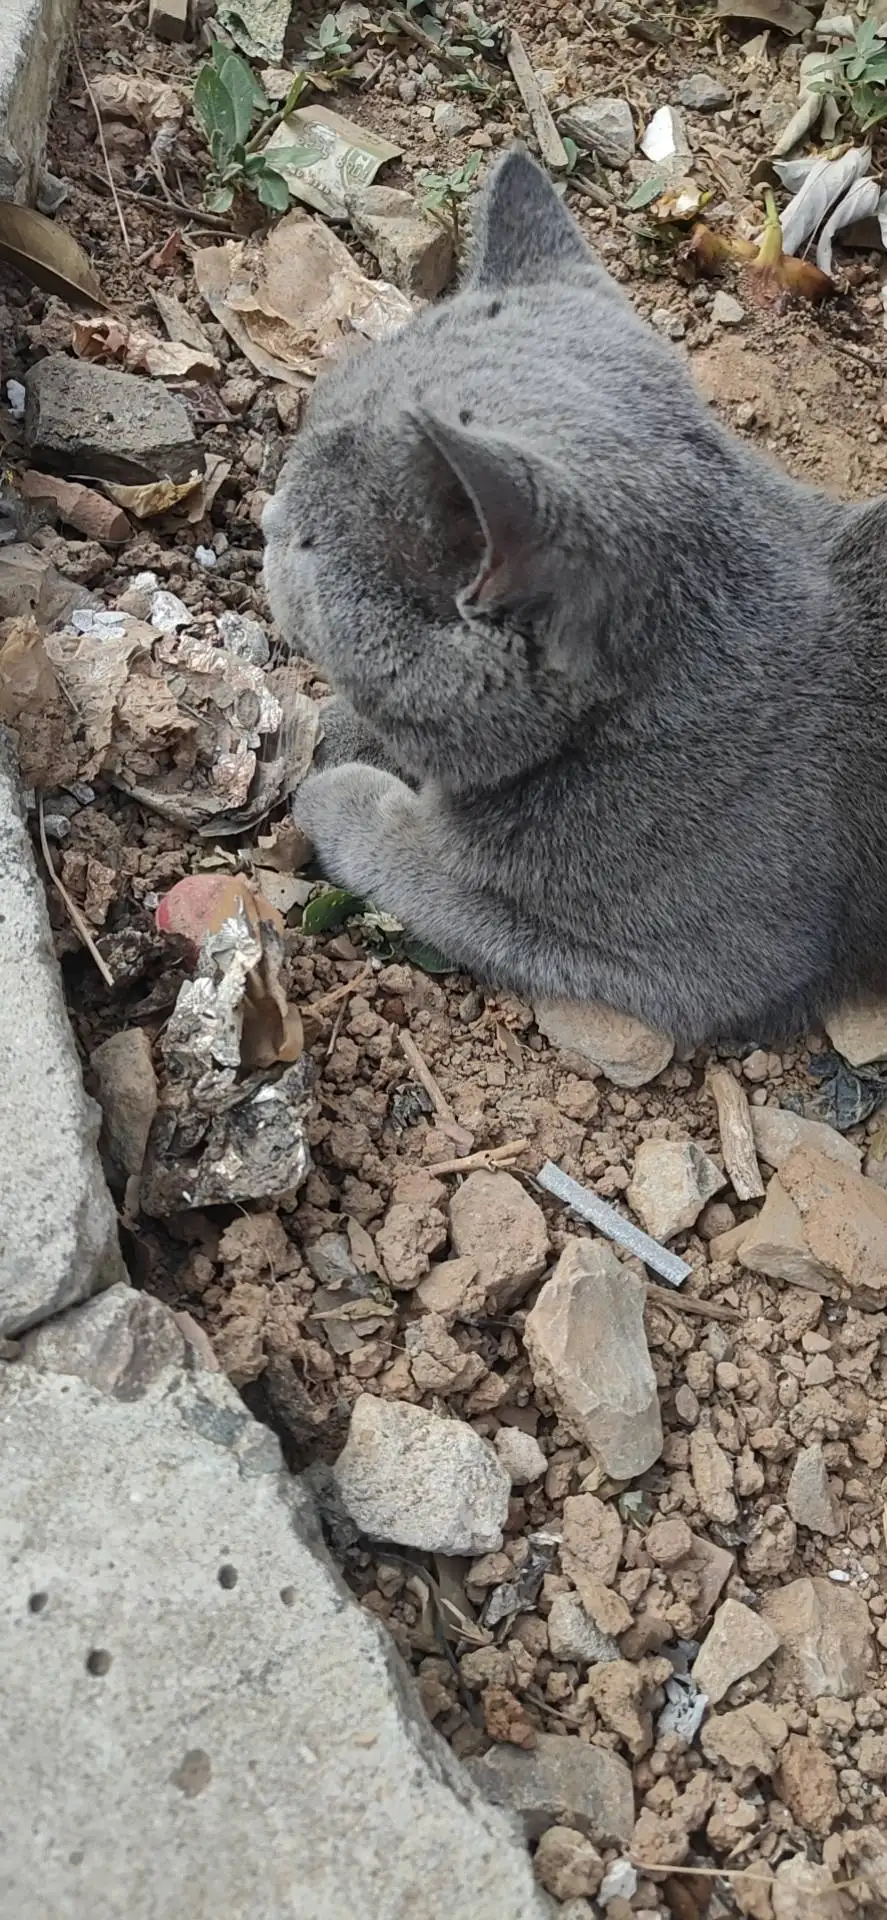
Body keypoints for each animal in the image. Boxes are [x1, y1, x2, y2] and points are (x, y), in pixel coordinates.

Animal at [259, 149, 887, 1052]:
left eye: (310, 542)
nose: (266, 515)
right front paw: (332, 731)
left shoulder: (694, 967)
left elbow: (432, 874)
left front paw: (343, 792)